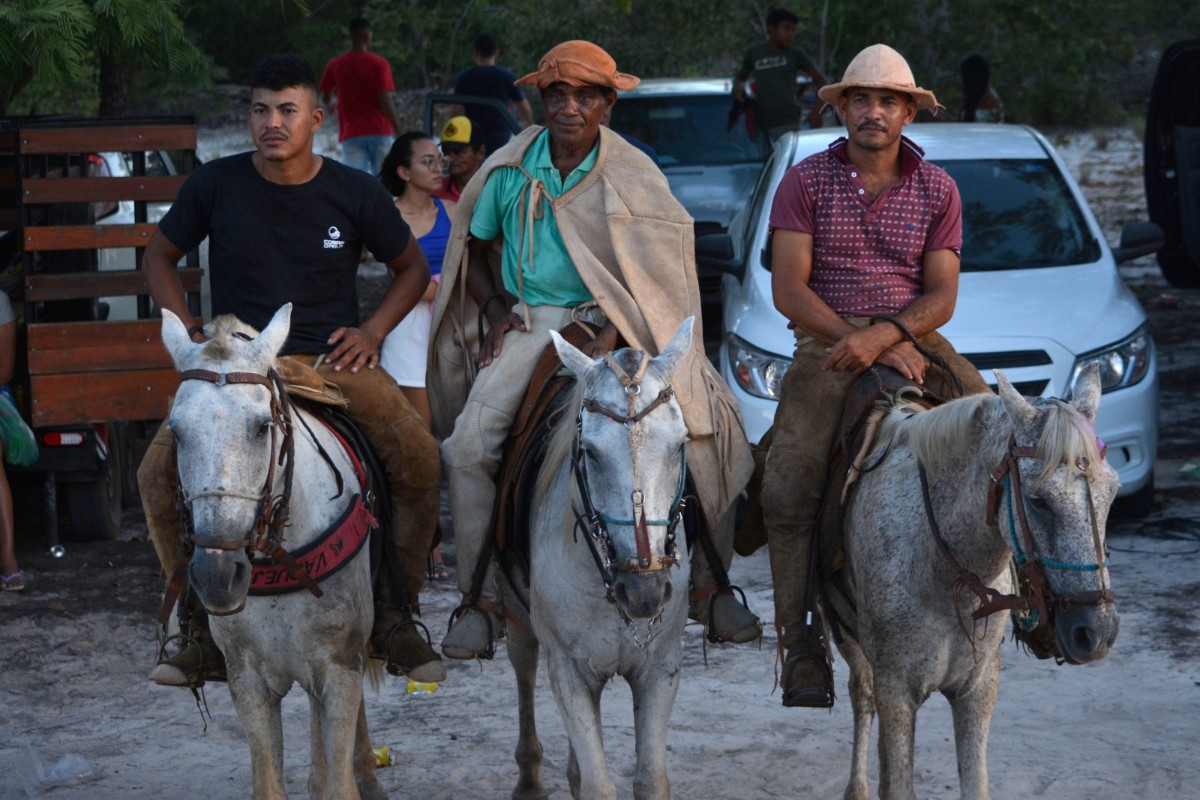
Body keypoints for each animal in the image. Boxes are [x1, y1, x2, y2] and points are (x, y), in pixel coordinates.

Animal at [160, 307, 384, 800]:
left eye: (262, 426)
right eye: (177, 432)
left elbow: (340, 783)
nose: (217, 576)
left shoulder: (339, 670)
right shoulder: (249, 682)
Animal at [496, 316, 700, 796]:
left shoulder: (661, 670)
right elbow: (598, 786)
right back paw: (529, 777)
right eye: (589, 451)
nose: (644, 592)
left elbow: (650, 780)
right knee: (522, 661)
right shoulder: (568, 673)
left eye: (680, 444)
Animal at [830, 367, 1118, 800]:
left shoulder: (978, 689)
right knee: (861, 694)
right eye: (1039, 500)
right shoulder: (896, 691)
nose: (1098, 632)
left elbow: (976, 784)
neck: (943, 575)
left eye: (1113, 492)